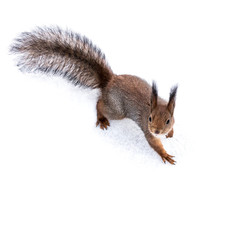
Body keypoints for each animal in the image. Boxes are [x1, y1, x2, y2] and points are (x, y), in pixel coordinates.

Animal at [9, 26, 178, 165]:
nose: (156, 131)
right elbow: (154, 144)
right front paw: (165, 154)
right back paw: (101, 118)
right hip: (116, 110)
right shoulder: (146, 129)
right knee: (99, 104)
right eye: (149, 118)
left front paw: (171, 134)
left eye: (168, 120)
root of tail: (109, 81)